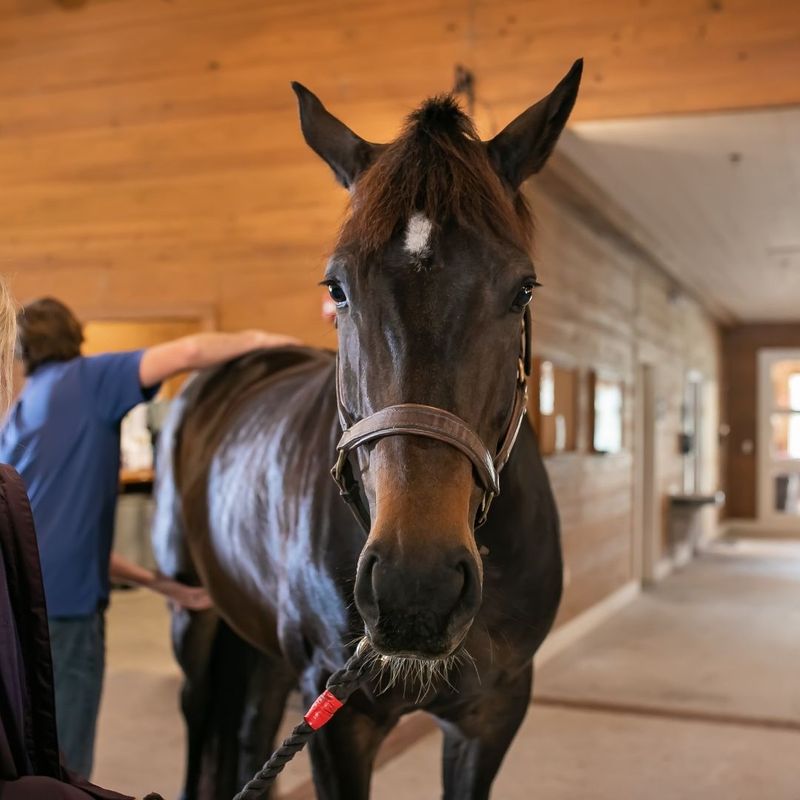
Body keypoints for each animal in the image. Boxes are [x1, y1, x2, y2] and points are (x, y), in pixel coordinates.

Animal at [152, 59, 582, 800]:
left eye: (524, 288)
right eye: (337, 287)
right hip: (195, 620)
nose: (417, 588)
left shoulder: (492, 714)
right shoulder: (339, 722)